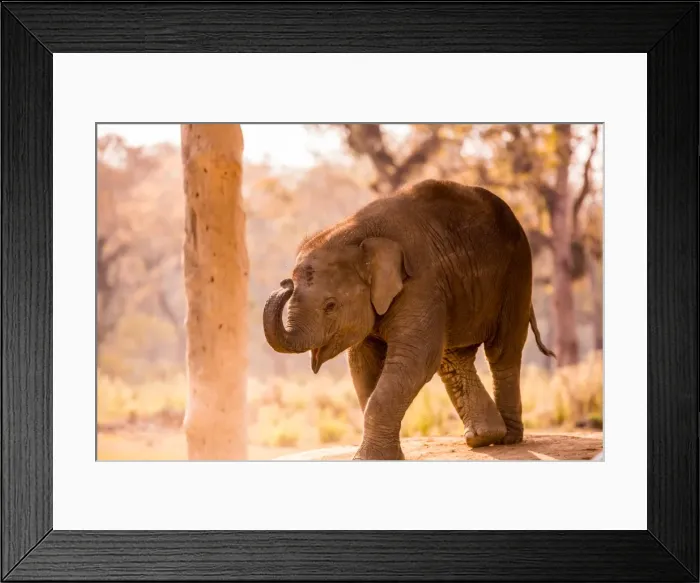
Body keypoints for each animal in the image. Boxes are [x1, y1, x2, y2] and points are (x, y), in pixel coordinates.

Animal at [263, 179, 555, 460]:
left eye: (330, 306)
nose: (285, 284)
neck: (359, 235)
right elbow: (362, 363)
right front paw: (387, 456)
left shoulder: (421, 282)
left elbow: (415, 358)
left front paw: (370, 458)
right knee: (454, 358)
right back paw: (483, 438)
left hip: (517, 271)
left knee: (502, 351)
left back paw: (509, 438)